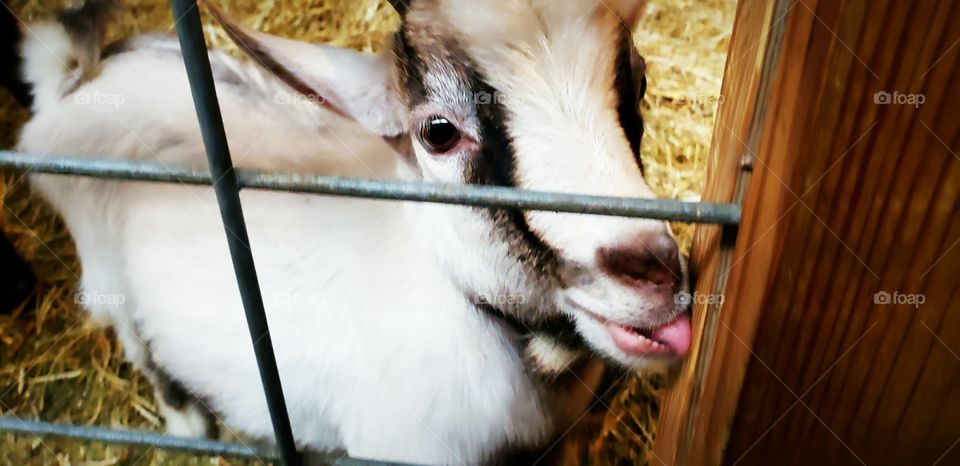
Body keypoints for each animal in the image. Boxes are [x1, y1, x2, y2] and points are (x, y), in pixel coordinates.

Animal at [14, 0, 691, 463]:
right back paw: (192, 427)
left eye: (639, 80)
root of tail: (78, 80)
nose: (655, 273)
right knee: (139, 346)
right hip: (110, 277)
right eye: (437, 132)